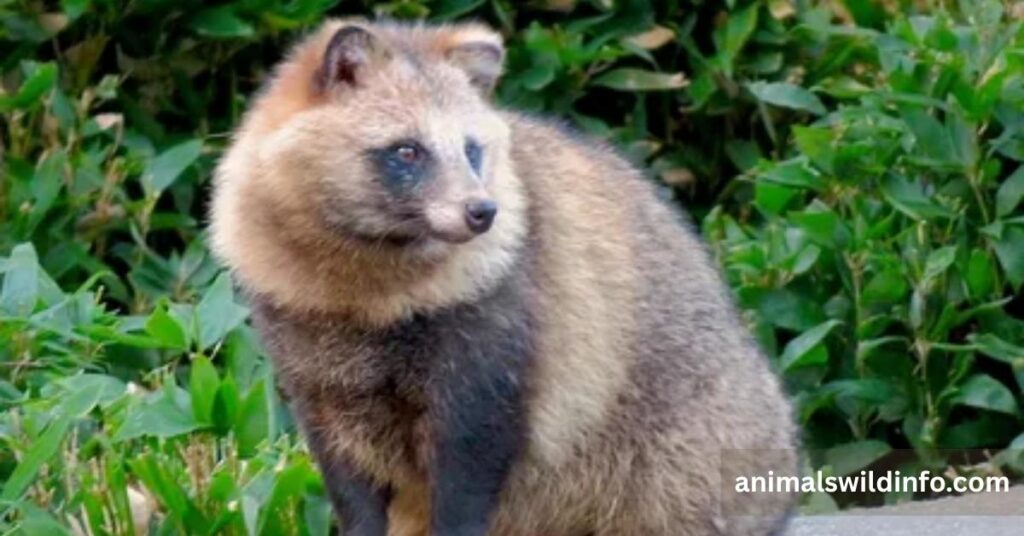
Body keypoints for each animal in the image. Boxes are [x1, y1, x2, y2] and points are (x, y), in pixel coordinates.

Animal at [208, 18, 799, 536]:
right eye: (407, 150)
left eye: (472, 149)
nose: (482, 212)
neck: (369, 279)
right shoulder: (313, 362)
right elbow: (348, 479)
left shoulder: (497, 332)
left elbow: (471, 460)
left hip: (684, 455)